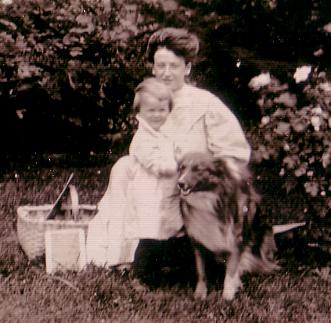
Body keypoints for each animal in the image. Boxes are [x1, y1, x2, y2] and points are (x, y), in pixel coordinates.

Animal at [178, 152, 278, 302]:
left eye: (198, 169)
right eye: (182, 168)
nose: (180, 183)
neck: (208, 199)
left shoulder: (235, 241)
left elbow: (230, 273)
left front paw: (227, 297)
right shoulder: (198, 241)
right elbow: (201, 271)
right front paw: (200, 294)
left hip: (264, 235)